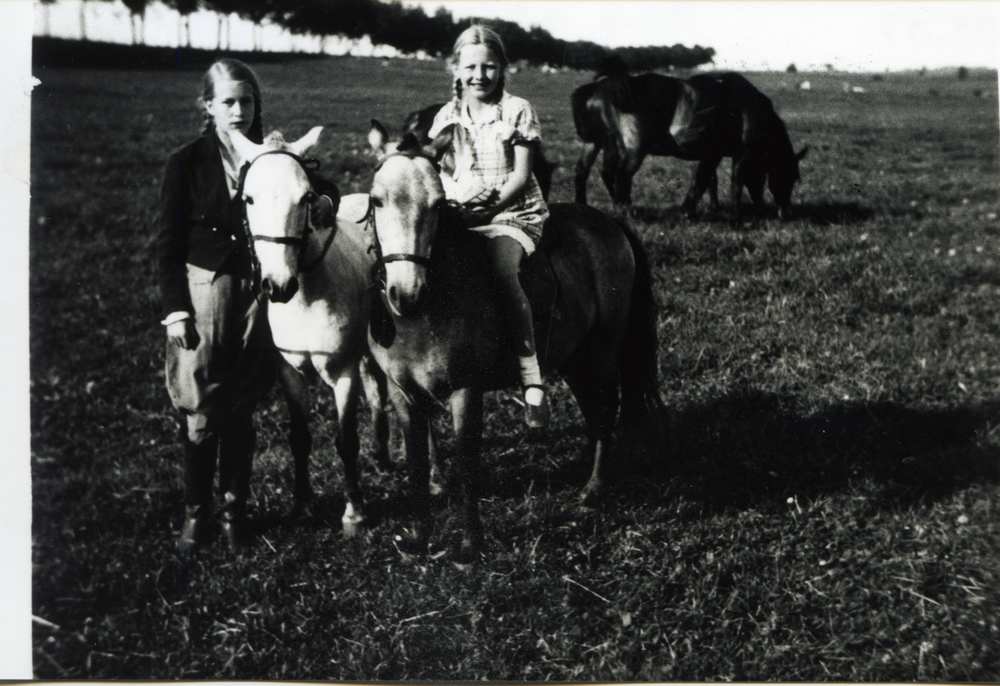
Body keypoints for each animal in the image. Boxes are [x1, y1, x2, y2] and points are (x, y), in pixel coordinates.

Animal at [230, 129, 390, 536]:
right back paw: (381, 454)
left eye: (305, 197)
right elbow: (300, 437)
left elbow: (346, 440)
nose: (277, 286)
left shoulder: (343, 373)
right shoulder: (289, 372)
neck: (305, 298)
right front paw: (301, 507)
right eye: (248, 198)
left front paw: (354, 513)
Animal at [364, 122, 660, 564]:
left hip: (603, 354)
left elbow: (467, 462)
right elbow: (417, 463)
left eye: (437, 204)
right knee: (595, 414)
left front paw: (470, 544)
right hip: (576, 359)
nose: (406, 293)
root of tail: (610, 223)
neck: (429, 308)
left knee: (606, 412)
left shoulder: (465, 390)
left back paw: (594, 490)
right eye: (376, 200)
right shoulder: (404, 394)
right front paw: (419, 536)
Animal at [572, 58, 804, 223]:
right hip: (631, 149)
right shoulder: (740, 153)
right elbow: (731, 181)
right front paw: (733, 217)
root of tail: (602, 86)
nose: (787, 213)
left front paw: (708, 209)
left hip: (595, 143)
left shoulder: (712, 154)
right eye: (789, 175)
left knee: (584, 171)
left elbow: (708, 180)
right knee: (619, 176)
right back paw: (626, 212)